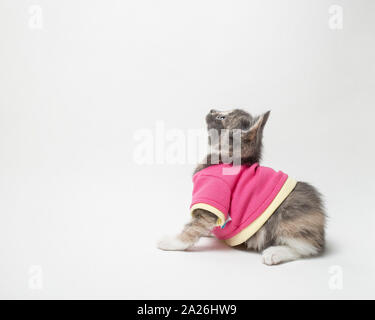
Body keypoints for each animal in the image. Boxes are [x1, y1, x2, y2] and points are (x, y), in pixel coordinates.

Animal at [159, 109, 326, 264]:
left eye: (222, 117)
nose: (211, 110)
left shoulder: (212, 195)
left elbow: (194, 227)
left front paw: (171, 242)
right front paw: (212, 231)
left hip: (288, 216)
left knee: (306, 247)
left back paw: (275, 253)